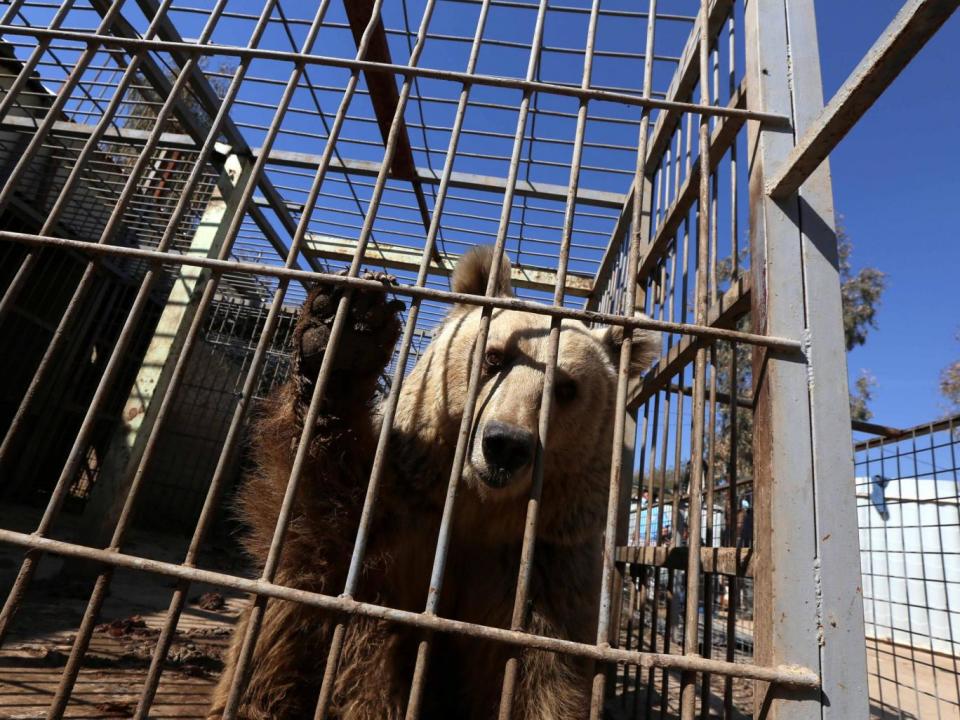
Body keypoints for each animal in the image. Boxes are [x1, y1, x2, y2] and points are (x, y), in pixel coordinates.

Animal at [209, 245, 660, 716]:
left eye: (566, 387)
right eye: (494, 357)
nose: (505, 445)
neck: (475, 513)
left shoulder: (543, 573)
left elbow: (536, 680)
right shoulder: (397, 514)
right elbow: (324, 539)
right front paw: (345, 330)